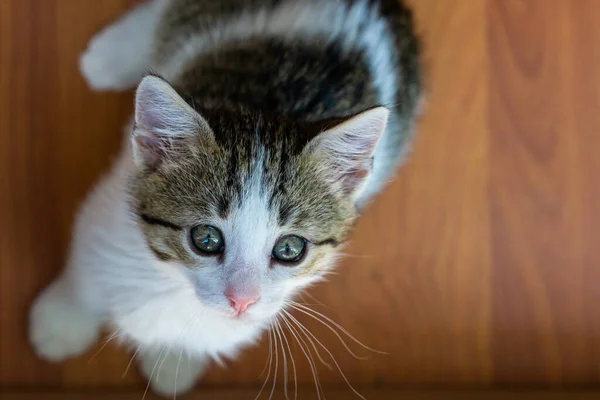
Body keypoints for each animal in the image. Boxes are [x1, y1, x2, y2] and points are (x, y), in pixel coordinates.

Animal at [28, 0, 422, 396]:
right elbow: (87, 274)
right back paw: (108, 57)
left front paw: (174, 362)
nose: (241, 300)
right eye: (205, 239)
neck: (174, 286)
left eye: (290, 249)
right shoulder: (108, 212)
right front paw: (62, 322)